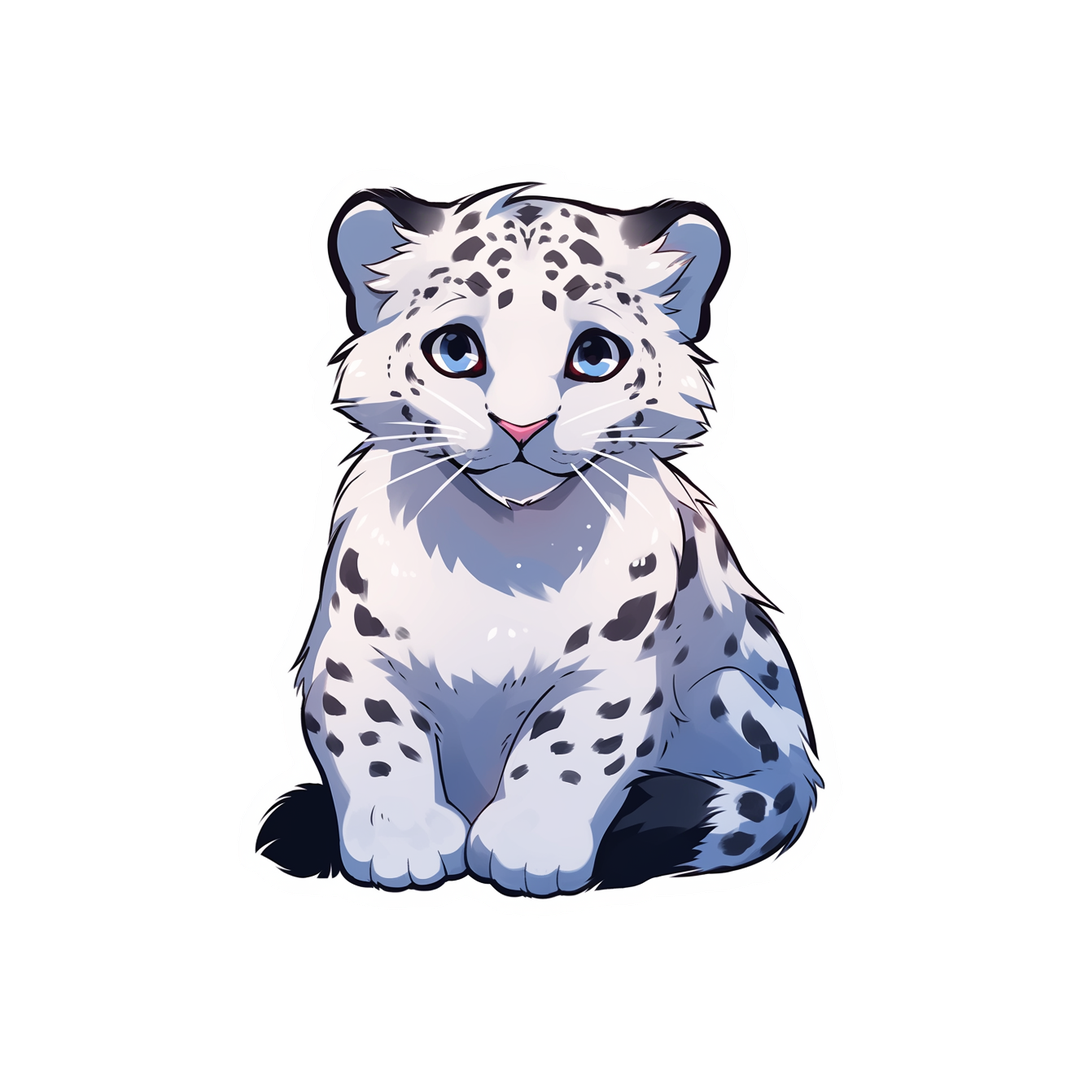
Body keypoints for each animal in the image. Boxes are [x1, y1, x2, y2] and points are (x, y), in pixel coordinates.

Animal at [257, 183, 822, 895]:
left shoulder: (612, 664)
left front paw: (528, 848)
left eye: (596, 355)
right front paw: (403, 843)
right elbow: (377, 739)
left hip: (734, 693)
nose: (521, 426)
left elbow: (569, 747)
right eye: (456, 348)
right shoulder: (355, 650)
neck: (506, 555)